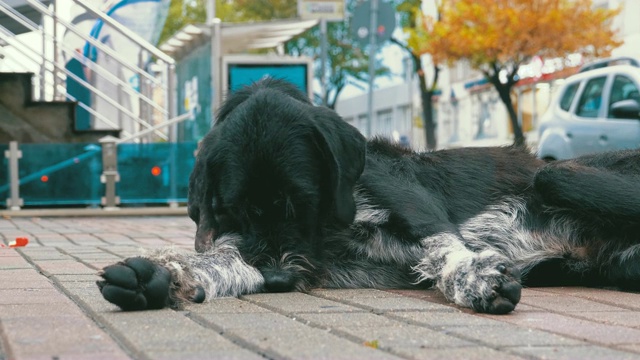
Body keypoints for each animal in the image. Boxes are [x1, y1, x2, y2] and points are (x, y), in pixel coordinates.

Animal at [96, 77, 640, 314]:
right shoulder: (297, 261)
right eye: (233, 210)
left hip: (559, 176)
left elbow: (445, 245)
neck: (333, 225)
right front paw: (165, 275)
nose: (275, 278)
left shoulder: (411, 202)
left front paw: (472, 278)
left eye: (303, 201)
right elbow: (229, 260)